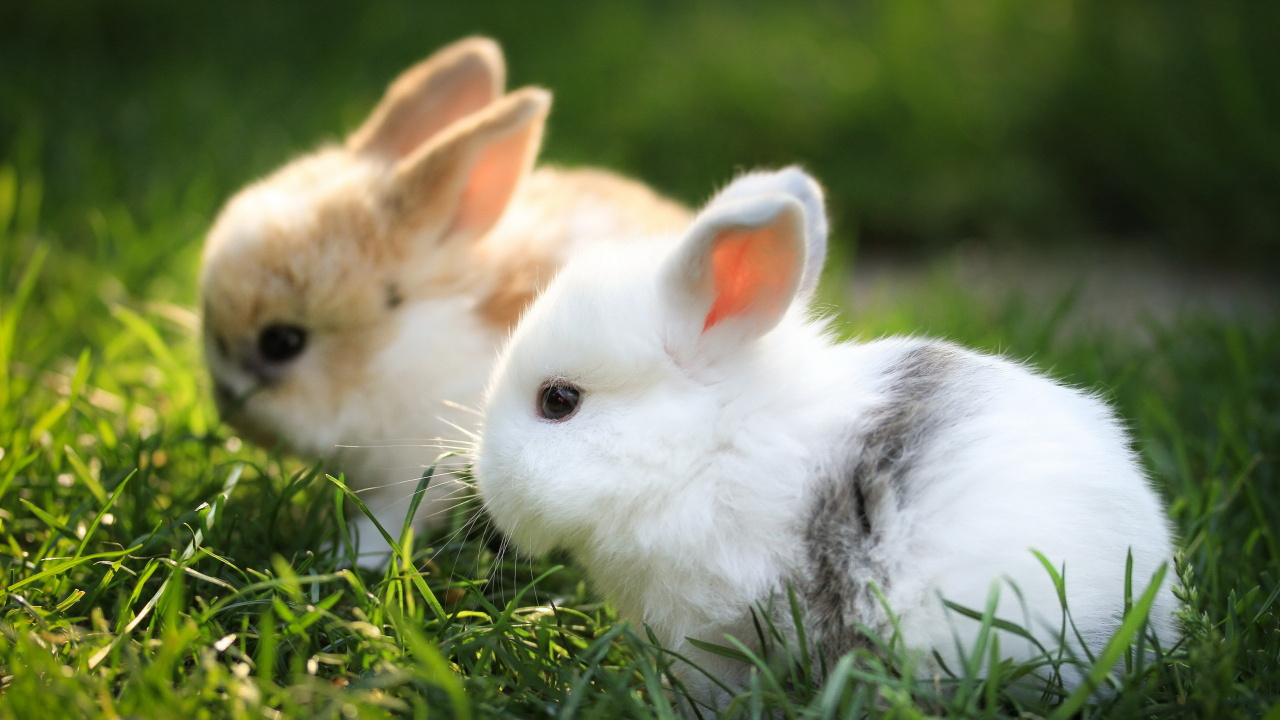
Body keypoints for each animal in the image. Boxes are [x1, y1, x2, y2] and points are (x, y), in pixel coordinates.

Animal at [200, 37, 689, 565]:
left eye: (282, 342)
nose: (230, 411)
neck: (393, 351)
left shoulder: (421, 467)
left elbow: (394, 517)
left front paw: (343, 556)